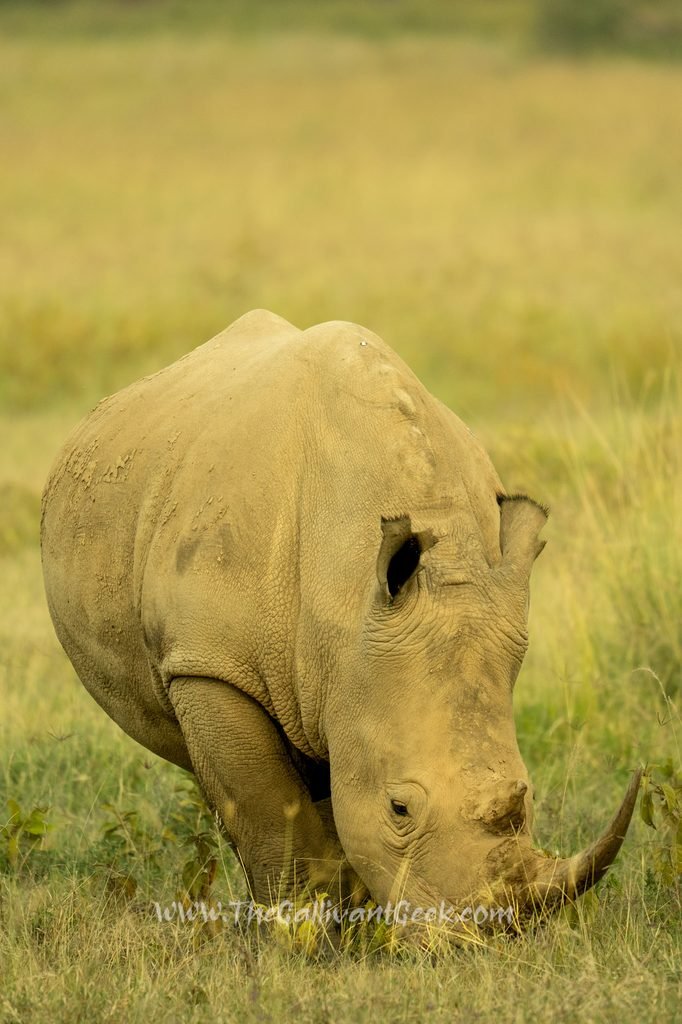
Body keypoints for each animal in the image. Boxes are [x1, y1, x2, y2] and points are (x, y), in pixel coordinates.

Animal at [41, 309, 640, 925]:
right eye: (398, 809)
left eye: (529, 794)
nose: (488, 933)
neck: (345, 609)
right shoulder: (208, 662)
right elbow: (266, 812)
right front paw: (300, 932)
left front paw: (348, 925)